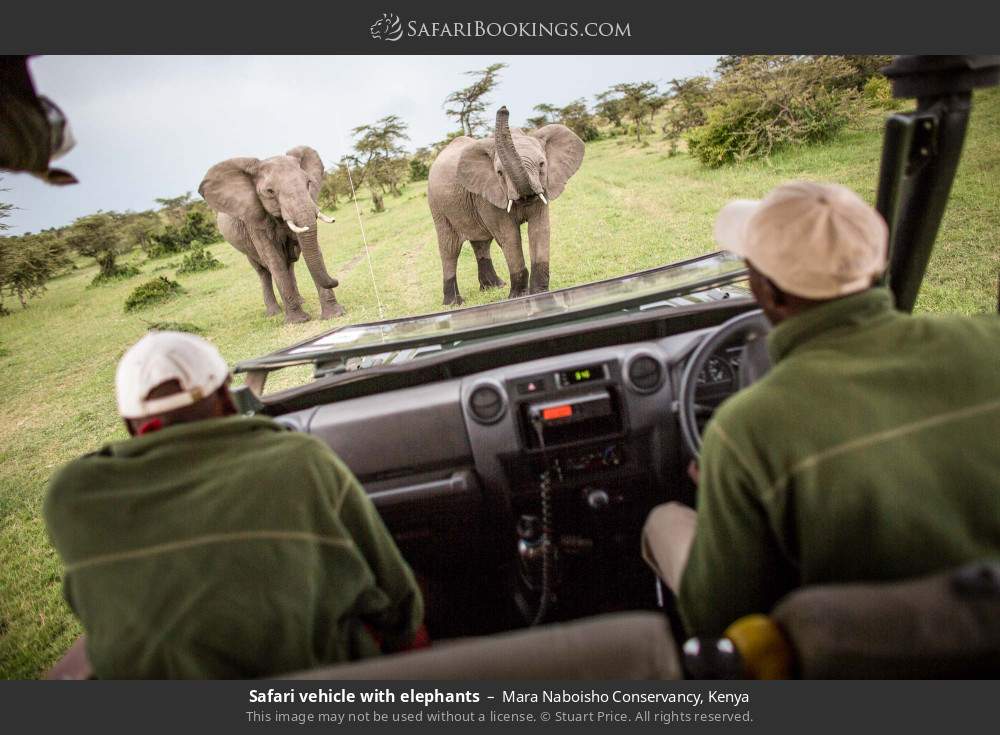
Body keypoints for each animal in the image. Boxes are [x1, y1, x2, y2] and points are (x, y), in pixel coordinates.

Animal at [198, 146, 344, 324]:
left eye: (308, 183)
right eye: (269, 191)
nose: (336, 280)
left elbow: (312, 249)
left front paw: (334, 314)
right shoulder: (254, 221)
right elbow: (274, 260)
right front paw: (297, 321)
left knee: (289, 264)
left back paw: (299, 300)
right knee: (263, 271)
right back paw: (273, 312)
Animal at [427, 106, 585, 305]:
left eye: (542, 164)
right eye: (500, 173)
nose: (503, 108)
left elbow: (539, 230)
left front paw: (540, 293)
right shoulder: (488, 195)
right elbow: (509, 237)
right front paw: (519, 296)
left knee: (481, 243)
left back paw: (494, 287)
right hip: (437, 207)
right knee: (450, 249)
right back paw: (454, 303)